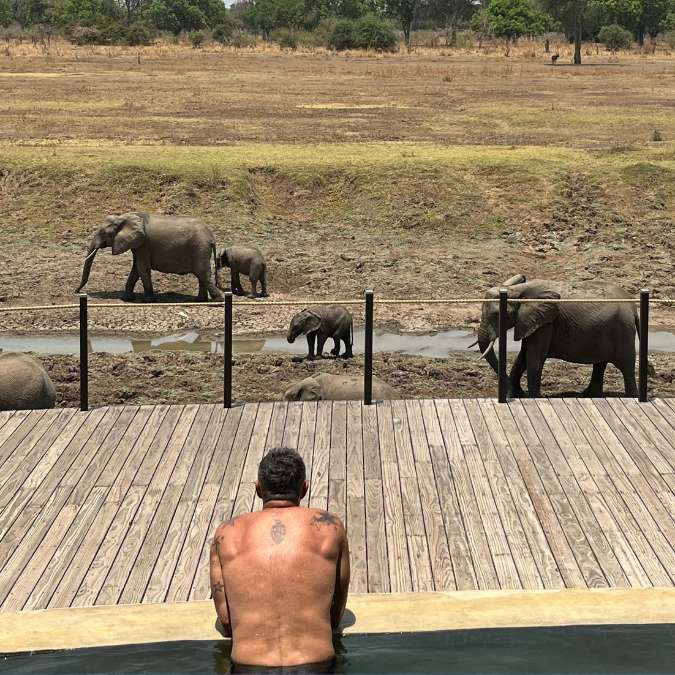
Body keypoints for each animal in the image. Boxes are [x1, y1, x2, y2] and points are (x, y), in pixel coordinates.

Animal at [76, 214, 224, 304]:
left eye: (102, 233)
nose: (76, 292)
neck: (124, 217)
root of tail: (211, 237)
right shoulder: (138, 245)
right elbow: (136, 269)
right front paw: (127, 298)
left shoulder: (144, 244)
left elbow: (142, 268)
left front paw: (147, 300)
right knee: (201, 275)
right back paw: (199, 300)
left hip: (199, 248)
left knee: (202, 273)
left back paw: (217, 299)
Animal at [476, 274, 640, 398]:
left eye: (497, 315)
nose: (519, 393)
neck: (517, 290)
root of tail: (633, 308)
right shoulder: (532, 322)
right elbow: (522, 357)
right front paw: (517, 395)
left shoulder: (546, 323)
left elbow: (534, 358)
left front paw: (532, 398)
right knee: (601, 363)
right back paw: (589, 395)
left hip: (622, 330)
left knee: (626, 366)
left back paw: (631, 397)